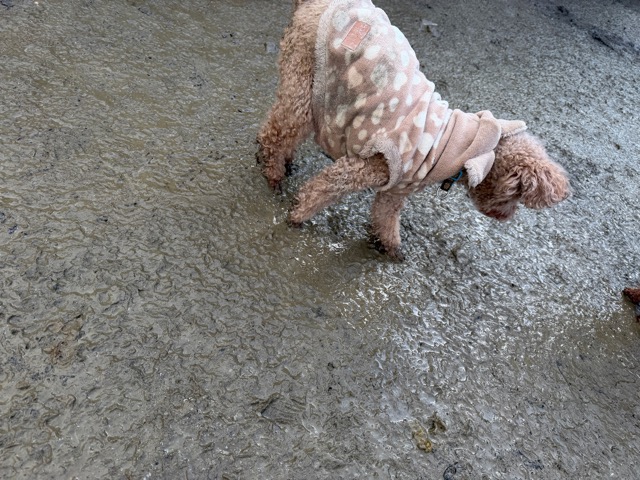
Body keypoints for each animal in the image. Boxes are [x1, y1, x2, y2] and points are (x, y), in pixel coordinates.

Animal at [257, 0, 570, 259]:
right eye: (514, 196)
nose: (506, 218)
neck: (453, 144)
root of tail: (315, 2)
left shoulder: (396, 188)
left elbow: (385, 217)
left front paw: (390, 248)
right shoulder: (365, 166)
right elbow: (322, 188)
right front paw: (297, 215)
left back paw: (286, 163)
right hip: (302, 71)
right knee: (276, 130)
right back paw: (272, 172)